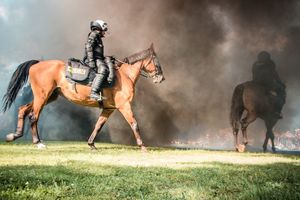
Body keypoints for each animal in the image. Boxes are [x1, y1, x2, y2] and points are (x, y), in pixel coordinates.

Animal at [1, 43, 164, 150]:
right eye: (156, 61)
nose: (161, 78)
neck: (124, 75)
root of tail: (38, 63)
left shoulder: (108, 109)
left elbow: (98, 125)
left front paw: (91, 144)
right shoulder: (124, 106)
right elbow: (134, 124)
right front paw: (143, 146)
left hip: (48, 97)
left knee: (23, 109)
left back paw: (14, 135)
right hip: (42, 96)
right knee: (33, 116)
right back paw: (38, 142)